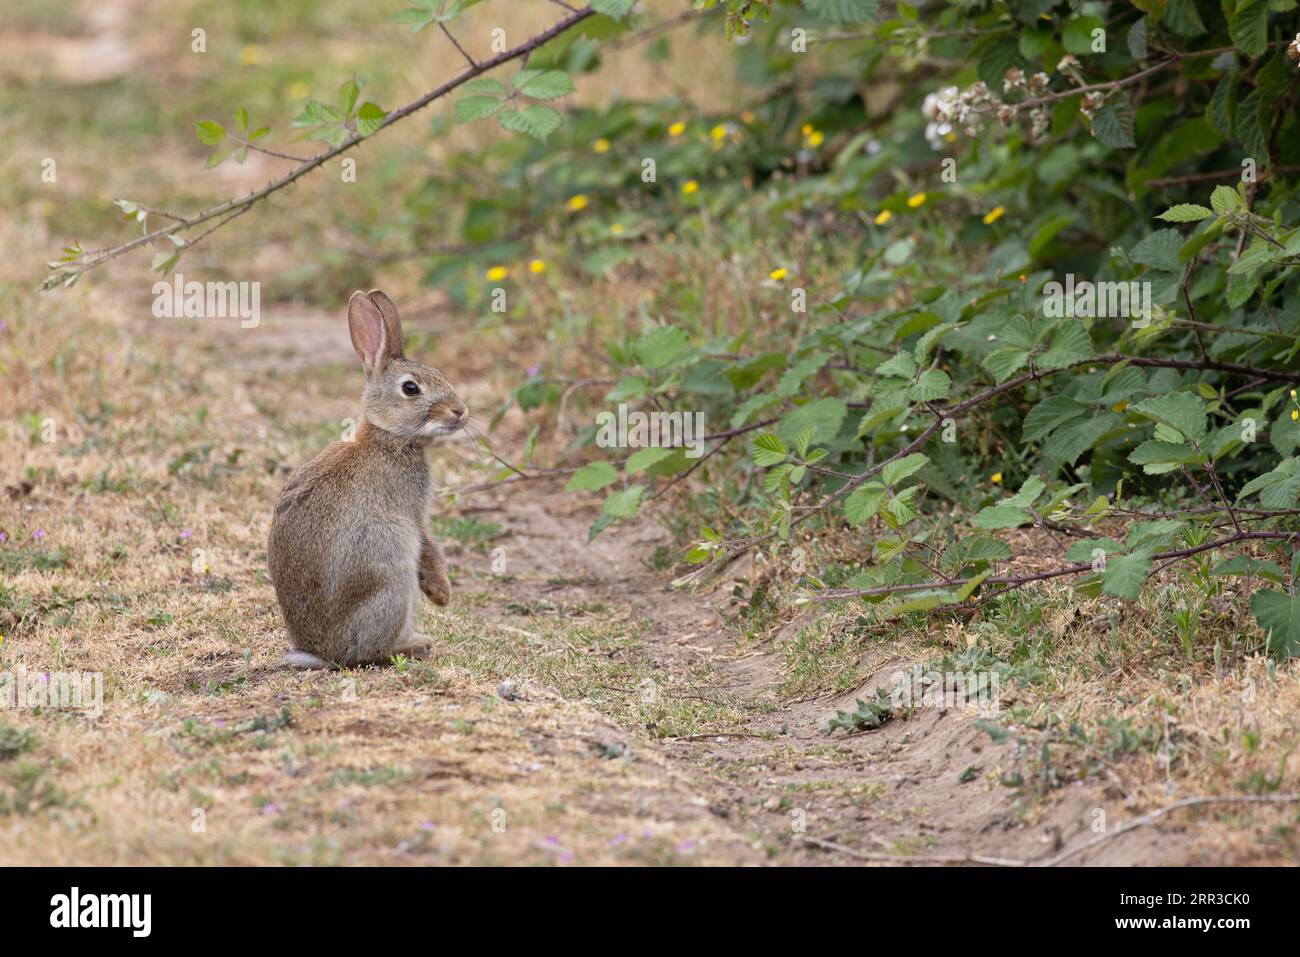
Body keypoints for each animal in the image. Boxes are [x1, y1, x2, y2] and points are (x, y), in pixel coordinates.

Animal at [267, 289, 467, 669]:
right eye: (410, 388)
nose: (460, 411)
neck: (388, 438)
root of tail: (324, 653)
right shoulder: (411, 513)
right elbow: (429, 545)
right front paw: (442, 593)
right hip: (393, 580)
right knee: (371, 652)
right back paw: (416, 645)